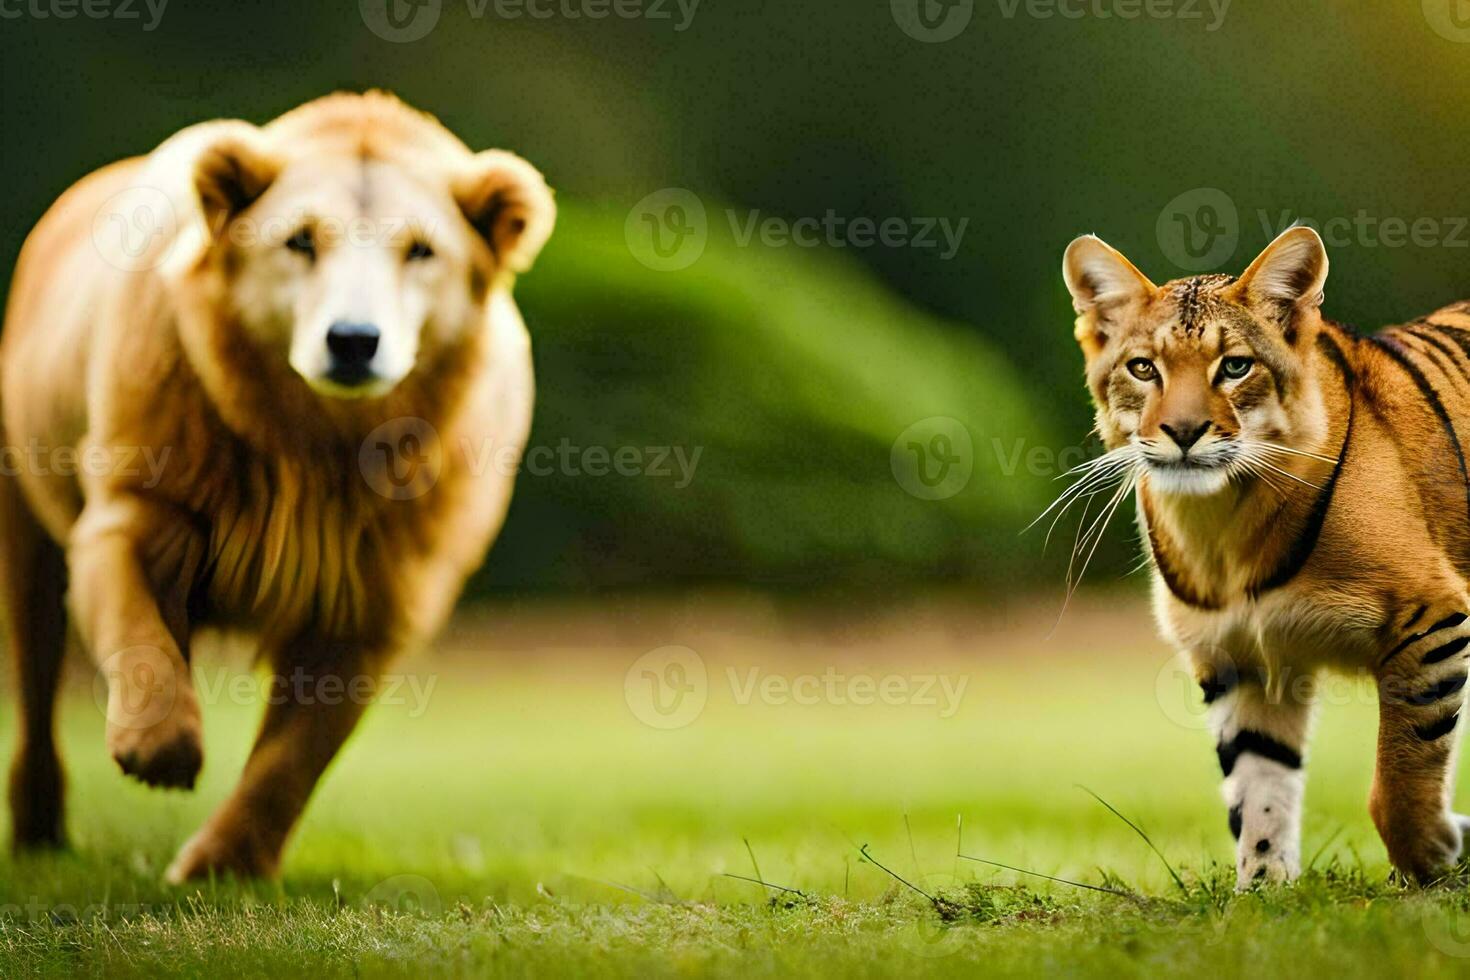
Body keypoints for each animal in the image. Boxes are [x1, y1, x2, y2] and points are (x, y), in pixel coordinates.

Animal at [1064, 227, 1470, 887]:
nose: (1183, 432)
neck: (1219, 523)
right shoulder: (1240, 659)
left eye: (1235, 366)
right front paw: (1263, 890)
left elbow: (1402, 770)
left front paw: (1430, 861)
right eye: (1143, 368)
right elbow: (1259, 787)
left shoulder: (1430, 619)